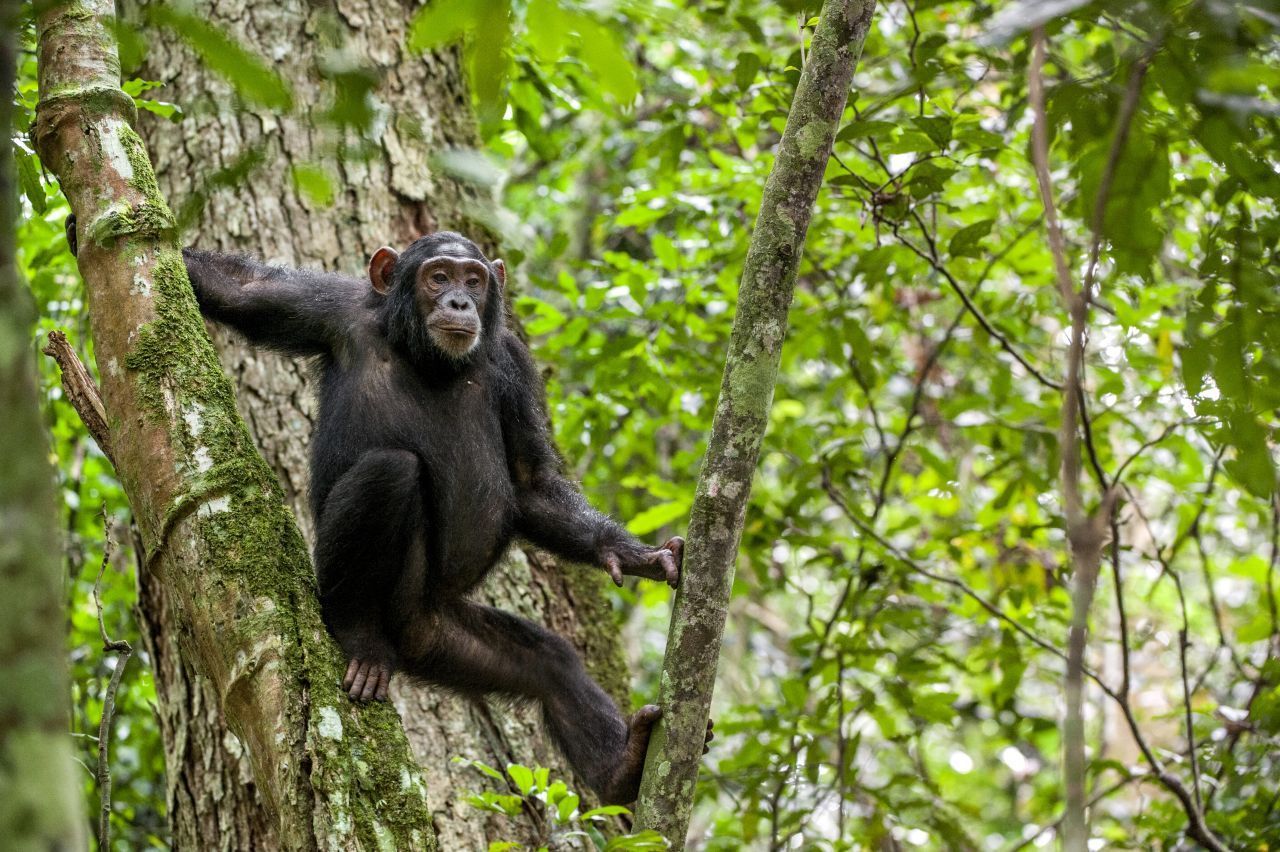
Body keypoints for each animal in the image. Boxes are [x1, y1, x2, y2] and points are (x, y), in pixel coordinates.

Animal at [67, 216, 711, 798]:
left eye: (475, 279)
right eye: (438, 275)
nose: (458, 299)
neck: (425, 354)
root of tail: (408, 639)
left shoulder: (517, 366)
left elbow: (532, 483)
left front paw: (634, 555)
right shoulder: (332, 308)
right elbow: (240, 288)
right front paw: (80, 221)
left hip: (445, 638)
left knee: (551, 666)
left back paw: (622, 768)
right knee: (390, 471)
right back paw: (359, 637)